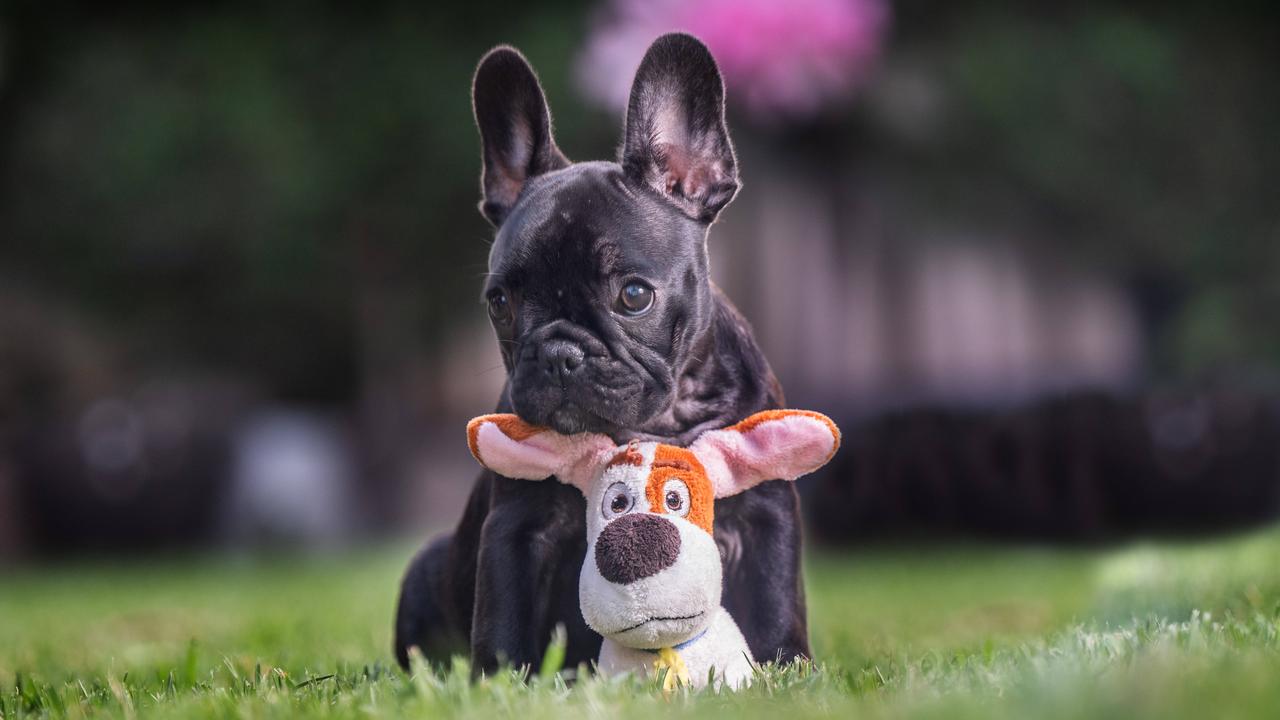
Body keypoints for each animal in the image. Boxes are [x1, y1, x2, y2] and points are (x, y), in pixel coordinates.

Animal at [391, 33, 808, 671]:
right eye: (500, 302)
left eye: (634, 295)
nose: (560, 353)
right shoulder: (516, 526)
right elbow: (503, 619)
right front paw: (496, 681)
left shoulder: (767, 514)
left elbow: (775, 601)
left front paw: (790, 671)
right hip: (425, 570)